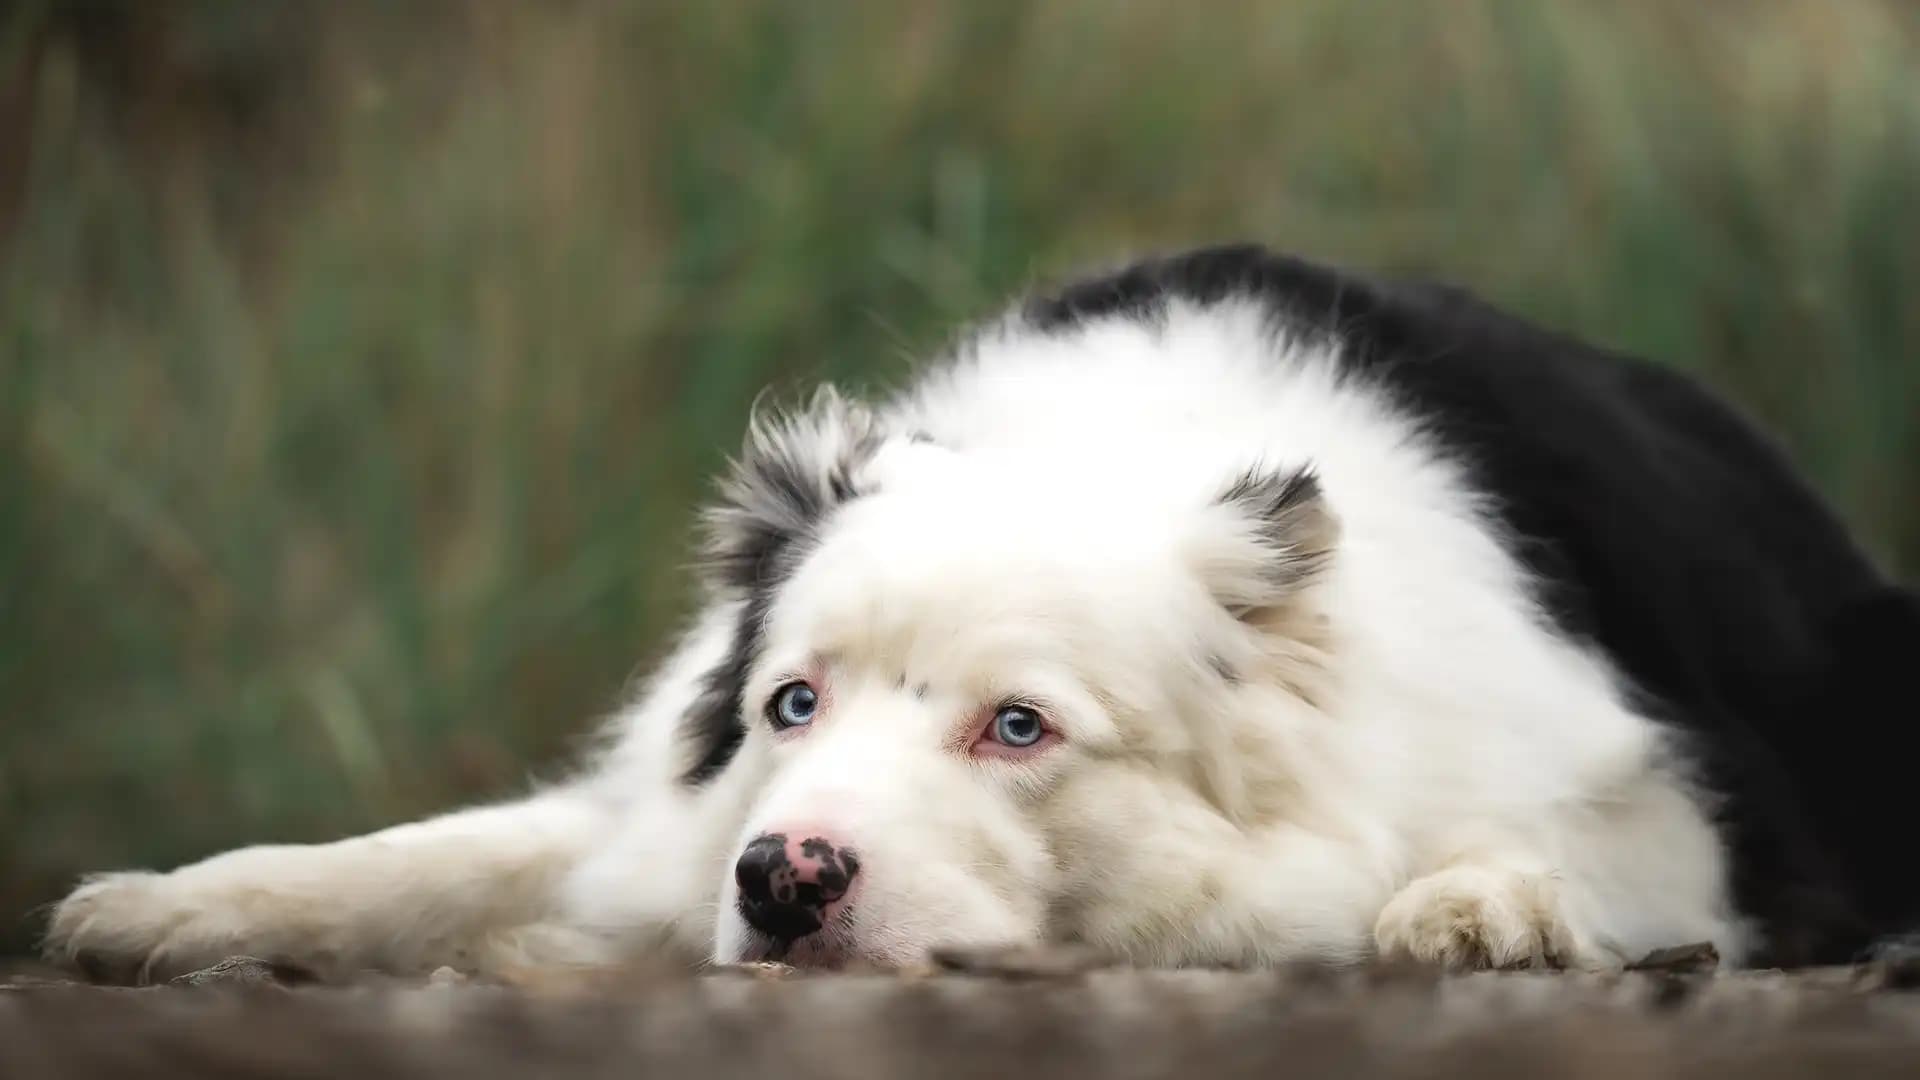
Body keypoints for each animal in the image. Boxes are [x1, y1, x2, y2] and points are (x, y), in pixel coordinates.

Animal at [45, 242, 1920, 976]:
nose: (783, 881)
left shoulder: (1679, 790)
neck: (1114, 447)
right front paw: (172, 905)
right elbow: (447, 850)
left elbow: (1573, 855)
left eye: (1018, 728)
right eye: (792, 704)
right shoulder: (660, 809)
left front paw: (1475, 903)